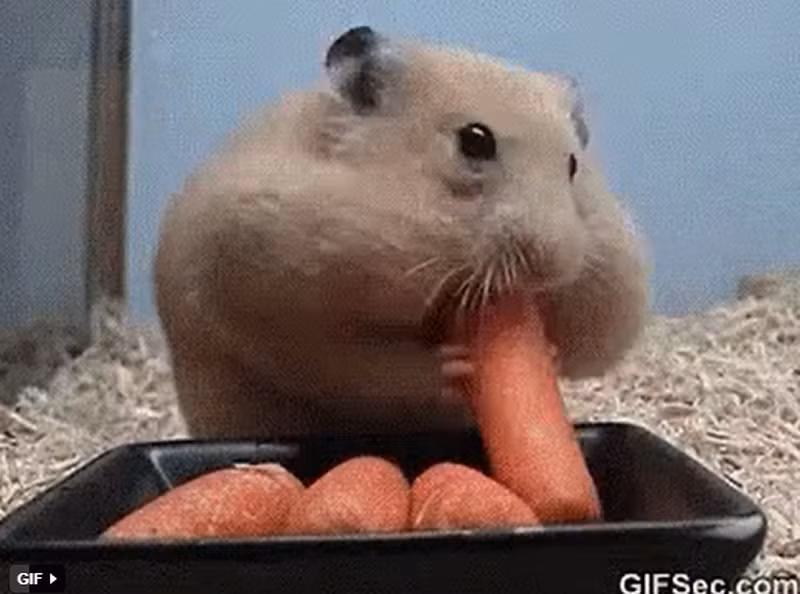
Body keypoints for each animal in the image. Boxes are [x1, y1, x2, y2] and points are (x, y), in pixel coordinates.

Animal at [154, 26, 650, 439]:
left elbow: (587, 347)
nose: (550, 263)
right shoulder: (267, 294)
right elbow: (360, 363)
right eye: (475, 141)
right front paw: (456, 365)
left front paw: (546, 351)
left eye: (572, 165)